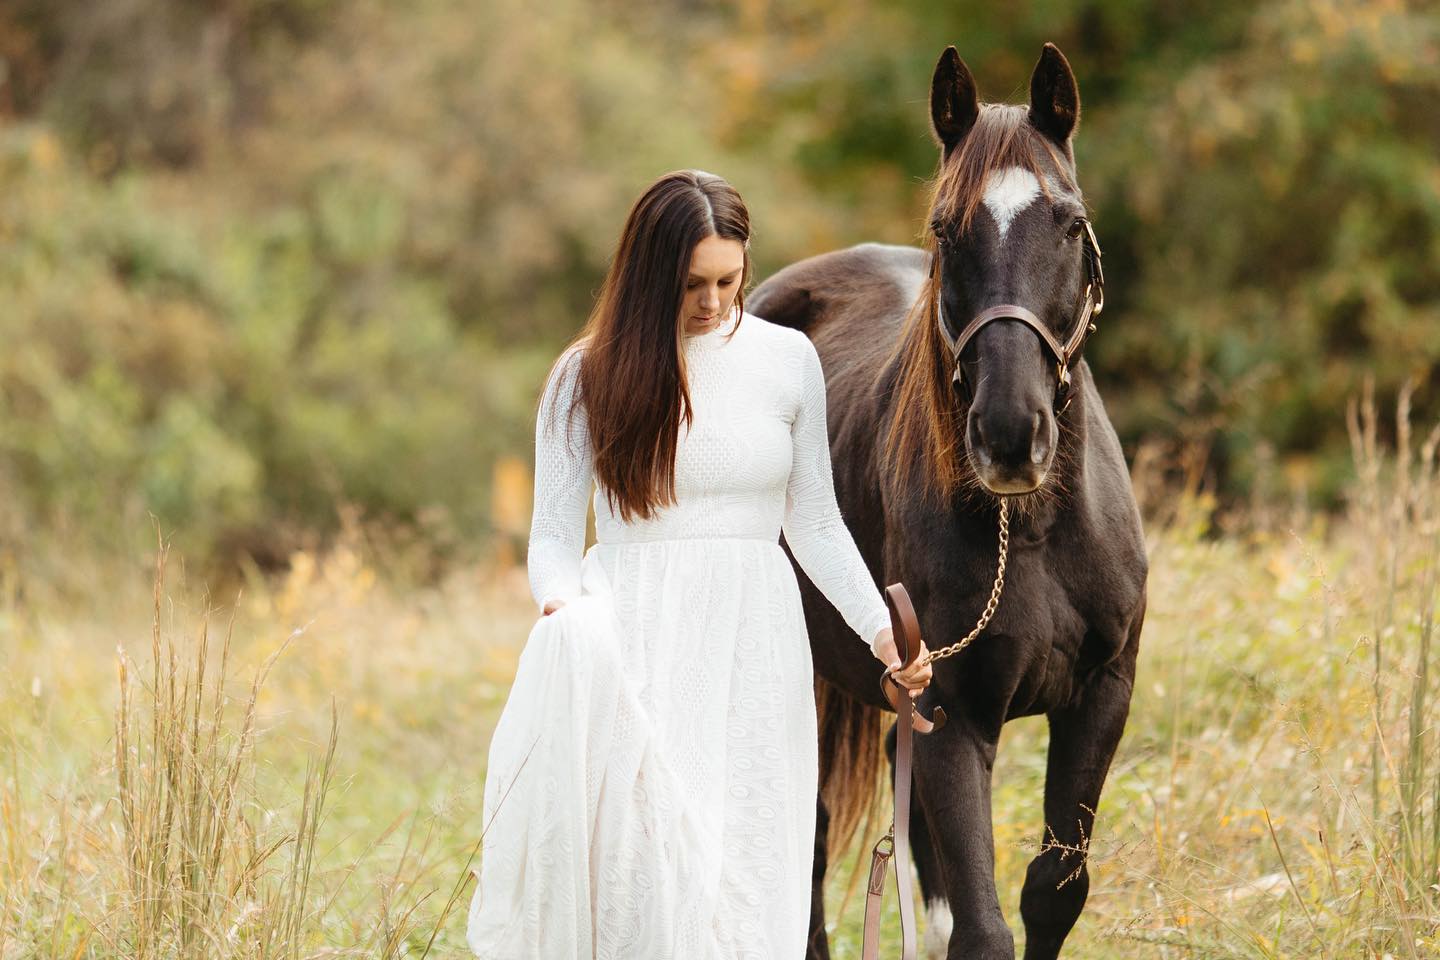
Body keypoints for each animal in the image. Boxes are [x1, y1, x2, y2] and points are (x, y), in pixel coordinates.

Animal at [760, 43, 1152, 955]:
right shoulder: (954, 715)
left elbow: (1051, 893)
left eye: (1070, 222)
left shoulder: (1100, 697)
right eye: (945, 227)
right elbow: (982, 928)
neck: (1029, 530)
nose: (1009, 435)